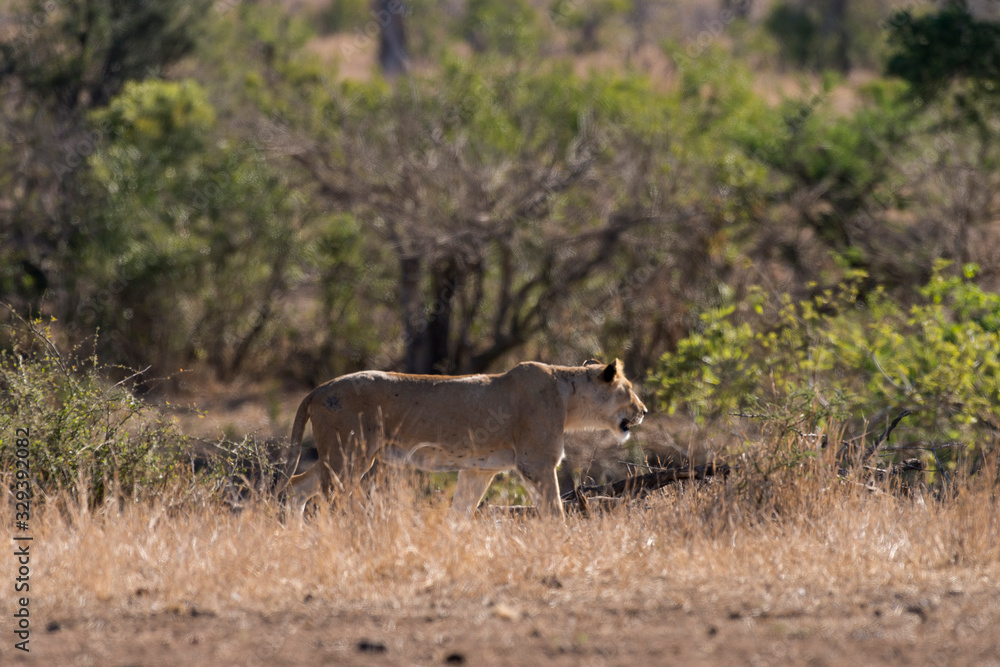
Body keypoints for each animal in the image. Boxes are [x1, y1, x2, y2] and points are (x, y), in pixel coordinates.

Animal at [281, 359, 647, 518]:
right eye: (628, 389)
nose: (643, 410)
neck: (568, 398)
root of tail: (318, 389)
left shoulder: (479, 469)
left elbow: (459, 513)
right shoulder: (536, 463)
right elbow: (554, 510)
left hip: (338, 456)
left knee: (298, 485)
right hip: (348, 455)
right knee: (329, 498)